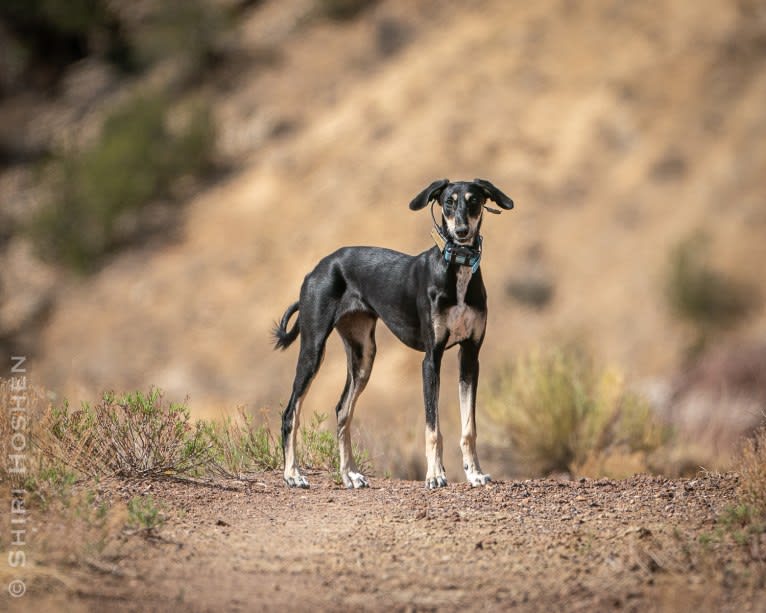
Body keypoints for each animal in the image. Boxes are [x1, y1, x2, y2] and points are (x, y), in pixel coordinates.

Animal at [276, 178, 516, 488]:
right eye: (448, 202)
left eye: (473, 201)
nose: (461, 232)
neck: (457, 269)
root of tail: (318, 268)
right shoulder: (431, 359)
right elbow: (433, 427)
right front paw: (435, 475)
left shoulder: (470, 356)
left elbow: (468, 428)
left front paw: (474, 472)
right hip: (313, 348)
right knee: (290, 413)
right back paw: (293, 474)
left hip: (363, 355)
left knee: (342, 411)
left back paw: (349, 474)